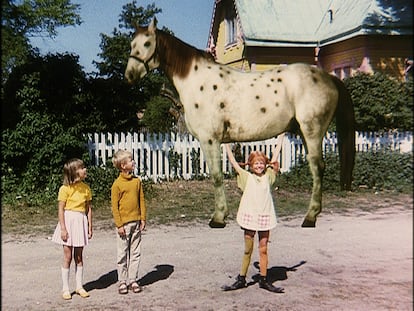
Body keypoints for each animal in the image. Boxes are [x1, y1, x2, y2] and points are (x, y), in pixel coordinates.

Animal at [124, 18, 354, 229]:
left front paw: (218, 218)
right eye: (131, 44)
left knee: (318, 167)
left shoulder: (210, 139)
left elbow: (216, 176)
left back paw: (310, 217)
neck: (196, 80)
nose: (129, 75)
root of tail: (330, 78)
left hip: (312, 131)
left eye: (147, 43)